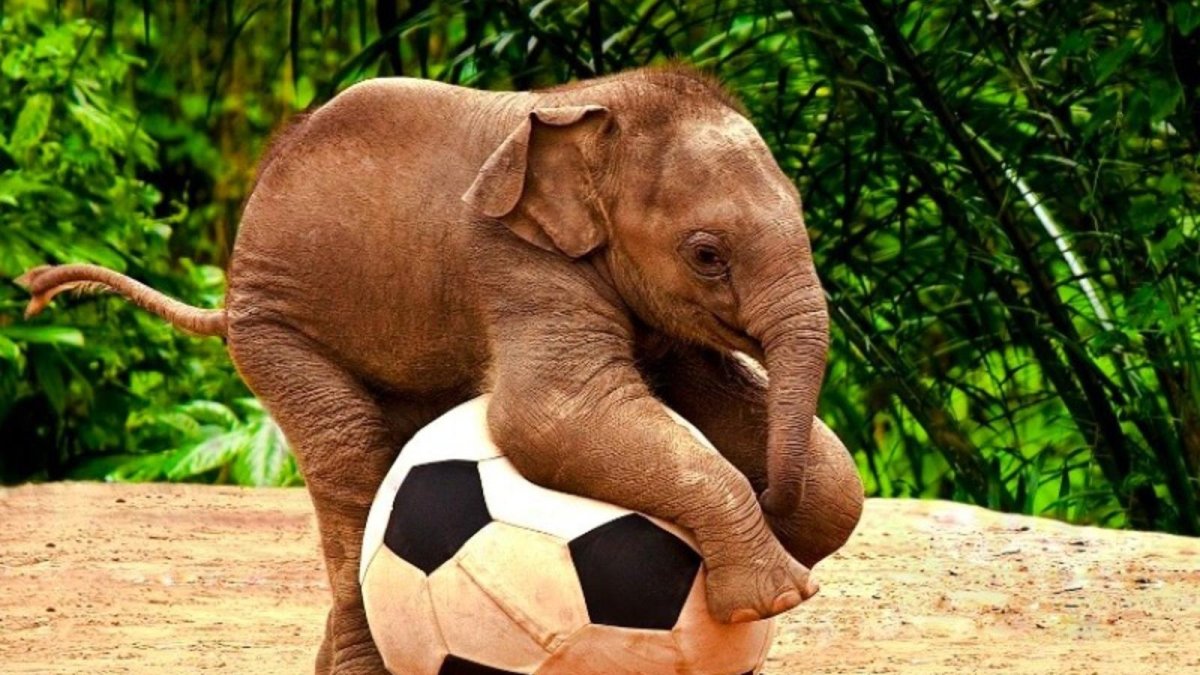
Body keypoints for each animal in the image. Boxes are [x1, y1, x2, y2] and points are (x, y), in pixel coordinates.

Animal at [19, 65, 865, 673]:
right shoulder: (512, 261)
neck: (592, 108)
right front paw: (776, 595)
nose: (770, 493)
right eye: (706, 254)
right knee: (352, 456)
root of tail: (227, 297)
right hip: (276, 326)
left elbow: (762, 428)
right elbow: (549, 415)